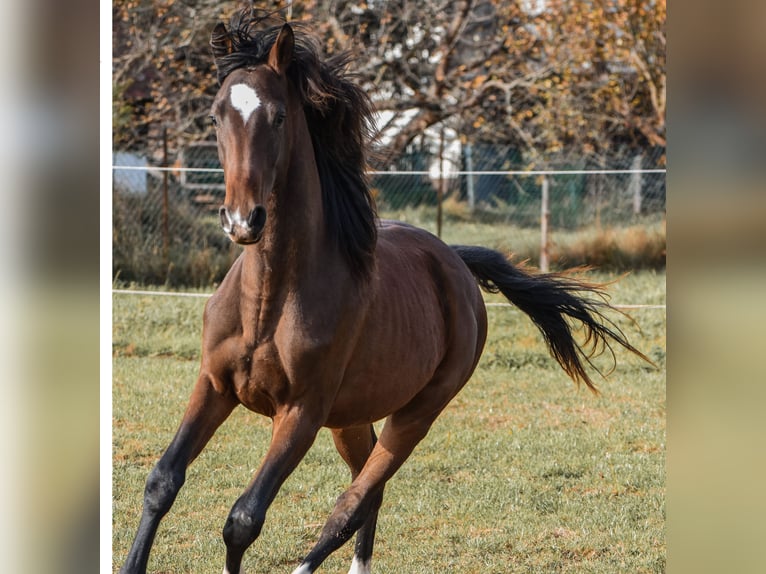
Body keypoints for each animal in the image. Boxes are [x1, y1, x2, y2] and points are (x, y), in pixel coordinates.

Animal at [120, 11, 649, 574]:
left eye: (279, 117)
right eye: (217, 116)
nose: (243, 220)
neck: (267, 302)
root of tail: (454, 262)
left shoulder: (300, 412)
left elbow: (244, 517)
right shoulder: (214, 384)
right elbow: (162, 482)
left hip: (416, 413)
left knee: (353, 502)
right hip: (350, 418)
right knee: (364, 490)